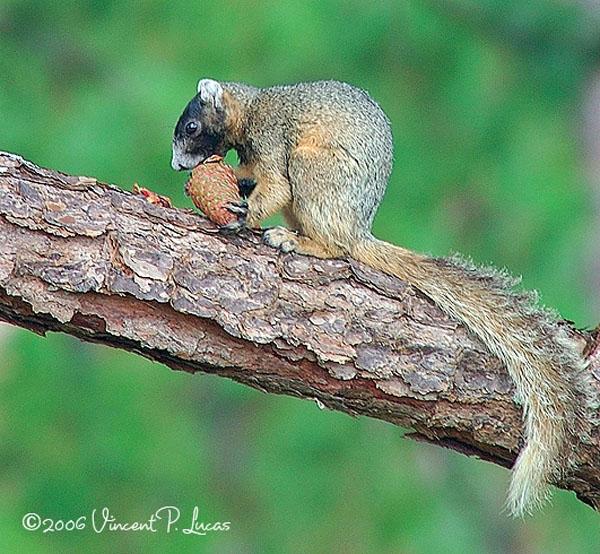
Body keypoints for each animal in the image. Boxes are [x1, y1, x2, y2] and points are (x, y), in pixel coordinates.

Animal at [171, 76, 588, 512]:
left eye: (192, 127)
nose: (178, 165)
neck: (251, 108)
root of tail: (358, 231)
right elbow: (251, 173)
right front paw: (229, 180)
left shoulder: (272, 139)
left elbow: (275, 186)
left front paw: (241, 213)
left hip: (314, 169)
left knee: (334, 243)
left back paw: (298, 241)